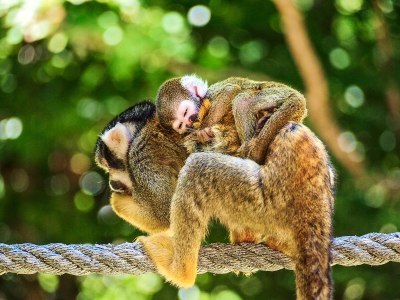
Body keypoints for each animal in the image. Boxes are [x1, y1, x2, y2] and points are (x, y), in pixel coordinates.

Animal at [96, 100, 334, 298]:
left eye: (109, 167)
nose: (113, 184)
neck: (141, 128)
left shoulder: (142, 154)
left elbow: (161, 214)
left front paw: (116, 201)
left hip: (267, 199)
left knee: (197, 168)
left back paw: (180, 270)